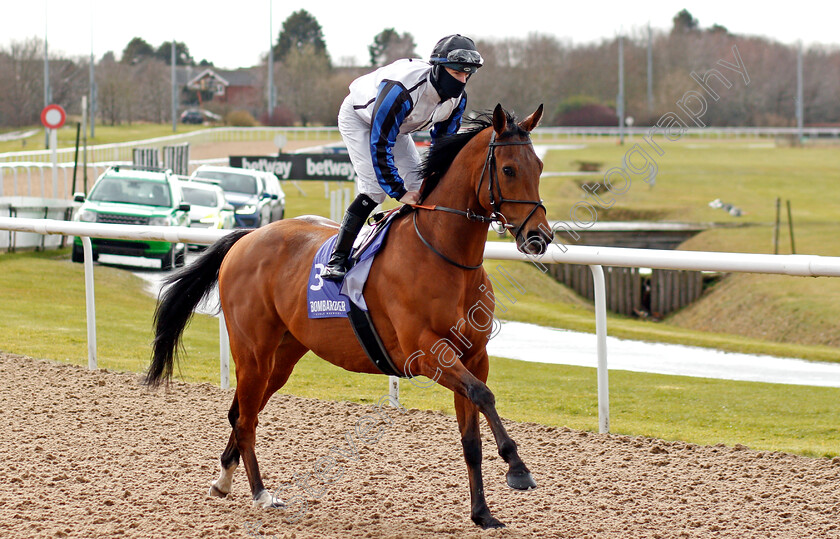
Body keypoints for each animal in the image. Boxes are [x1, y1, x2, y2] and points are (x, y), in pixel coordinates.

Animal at [144, 103, 552, 528]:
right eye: (509, 169)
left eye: (539, 166)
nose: (539, 237)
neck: (443, 255)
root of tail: (248, 237)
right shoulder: (428, 354)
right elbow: (484, 395)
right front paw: (518, 468)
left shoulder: (474, 356)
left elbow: (471, 434)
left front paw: (483, 513)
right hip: (253, 351)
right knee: (246, 419)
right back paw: (260, 493)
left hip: (282, 356)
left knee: (242, 410)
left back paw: (224, 480)